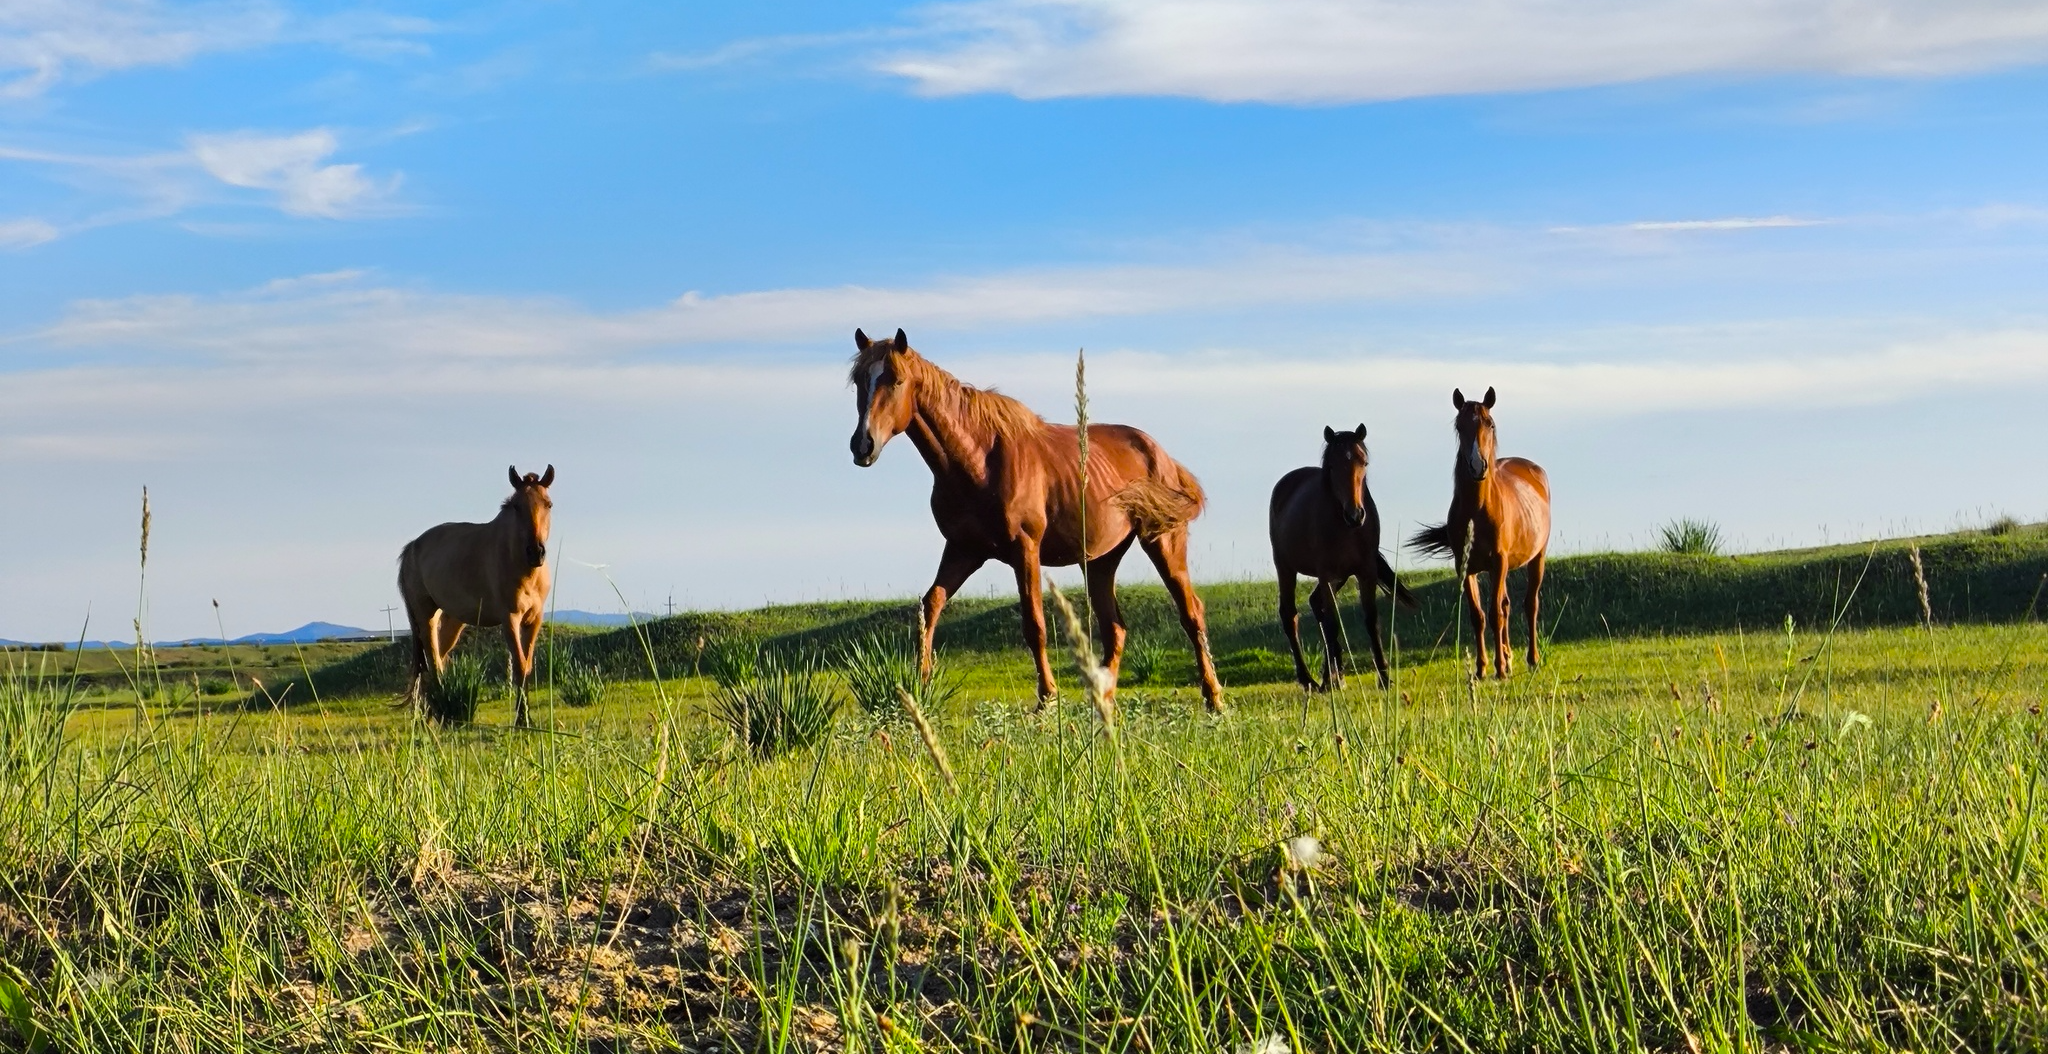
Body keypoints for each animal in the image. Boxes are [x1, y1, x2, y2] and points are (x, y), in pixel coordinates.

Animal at [399, 468, 557, 724]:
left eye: (548, 504)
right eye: (516, 506)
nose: (536, 552)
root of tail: (412, 547)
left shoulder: (534, 620)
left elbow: (527, 667)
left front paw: (525, 717)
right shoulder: (509, 619)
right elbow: (519, 666)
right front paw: (522, 720)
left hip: (452, 620)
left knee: (437, 659)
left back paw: (429, 714)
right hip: (425, 615)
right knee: (433, 661)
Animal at [843, 329, 1220, 708]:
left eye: (896, 380)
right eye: (860, 380)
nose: (863, 445)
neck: (979, 460)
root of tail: (1162, 456)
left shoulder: (1024, 548)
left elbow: (1034, 624)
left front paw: (1046, 698)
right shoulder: (963, 550)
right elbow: (930, 605)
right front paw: (922, 684)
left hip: (1163, 542)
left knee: (1192, 613)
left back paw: (1213, 697)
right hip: (1101, 560)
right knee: (1115, 628)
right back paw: (1102, 700)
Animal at [1269, 427, 1417, 691]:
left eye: (1363, 462)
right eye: (1332, 466)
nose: (1355, 514)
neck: (1345, 527)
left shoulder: (1365, 571)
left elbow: (1370, 620)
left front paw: (1384, 677)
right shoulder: (1326, 574)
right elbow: (1332, 623)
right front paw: (1331, 680)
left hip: (1342, 575)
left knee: (1316, 604)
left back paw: (1333, 674)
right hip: (1285, 567)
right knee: (1290, 615)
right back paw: (1309, 679)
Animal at [1409, 390, 1548, 679]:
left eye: (1489, 424)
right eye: (1459, 427)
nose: (1477, 465)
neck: (1479, 509)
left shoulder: (1498, 562)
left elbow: (1495, 614)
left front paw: (1499, 669)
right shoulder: (1466, 566)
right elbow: (1479, 616)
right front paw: (1483, 667)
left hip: (1537, 558)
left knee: (1530, 605)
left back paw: (1531, 659)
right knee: (1506, 605)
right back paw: (1508, 656)